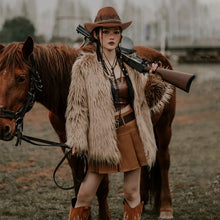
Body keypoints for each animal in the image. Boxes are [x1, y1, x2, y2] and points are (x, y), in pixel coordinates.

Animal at [0, 37, 175, 219]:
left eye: (21, 78)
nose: (3, 126)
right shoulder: (69, 144)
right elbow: (79, 184)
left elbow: (102, 186)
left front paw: (104, 216)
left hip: (164, 127)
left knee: (163, 161)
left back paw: (165, 208)